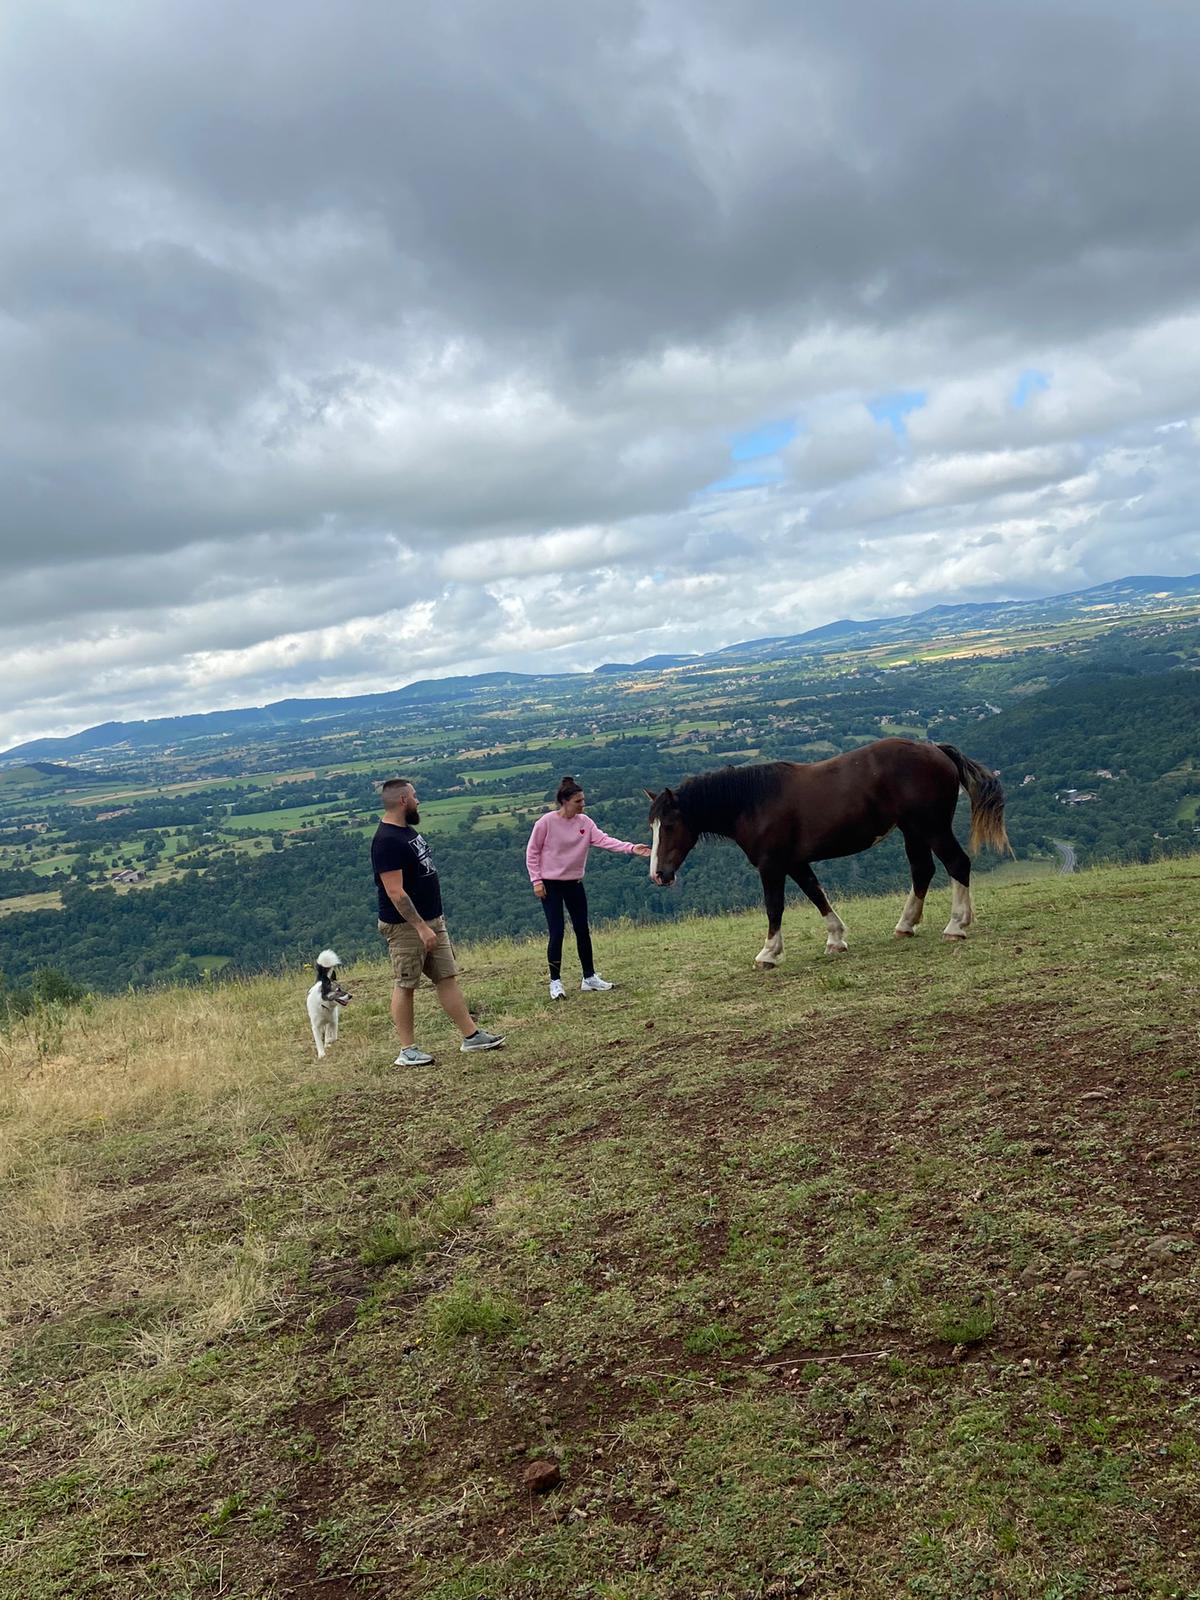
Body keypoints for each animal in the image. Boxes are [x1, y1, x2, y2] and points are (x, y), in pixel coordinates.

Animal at [644, 738, 1009, 967]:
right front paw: (835, 939)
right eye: (652, 825)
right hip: (913, 830)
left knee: (957, 864)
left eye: (671, 825)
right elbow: (816, 894)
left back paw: (956, 926)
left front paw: (769, 953)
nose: (658, 874)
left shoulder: (771, 866)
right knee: (923, 870)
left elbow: (774, 907)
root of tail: (936, 750)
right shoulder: (795, 862)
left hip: (932, 827)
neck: (753, 802)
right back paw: (906, 925)